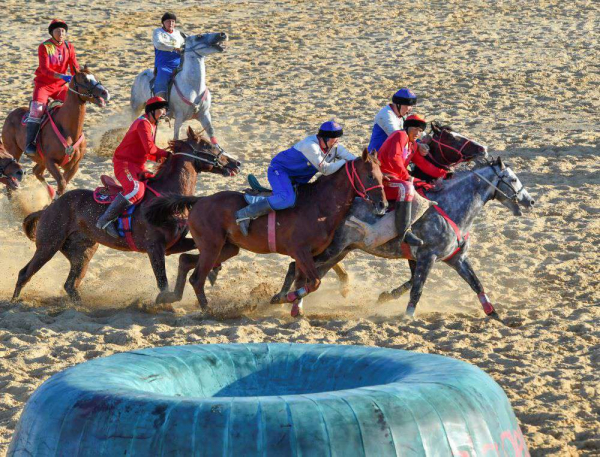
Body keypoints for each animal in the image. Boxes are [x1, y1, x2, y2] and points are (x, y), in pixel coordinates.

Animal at [2, 66, 109, 198]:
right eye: (85, 80)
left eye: (95, 77)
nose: (105, 93)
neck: (68, 130)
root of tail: (11, 115)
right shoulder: (50, 162)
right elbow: (62, 183)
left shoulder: (74, 165)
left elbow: (63, 183)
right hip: (14, 152)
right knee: (11, 183)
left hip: (40, 160)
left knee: (36, 171)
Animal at [10, 126, 240, 304]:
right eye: (207, 145)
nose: (235, 163)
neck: (166, 200)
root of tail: (49, 208)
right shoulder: (154, 248)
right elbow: (162, 282)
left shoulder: (173, 245)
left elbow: (198, 248)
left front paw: (214, 269)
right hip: (48, 245)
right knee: (24, 273)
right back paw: (15, 302)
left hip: (82, 252)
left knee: (70, 284)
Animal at [146, 148, 390, 316]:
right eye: (370, 176)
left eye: (383, 176)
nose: (383, 204)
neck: (319, 205)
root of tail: (199, 200)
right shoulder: (300, 251)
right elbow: (313, 282)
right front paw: (284, 298)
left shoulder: (310, 254)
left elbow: (303, 280)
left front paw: (293, 306)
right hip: (211, 246)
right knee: (197, 278)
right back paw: (208, 311)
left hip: (227, 248)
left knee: (186, 261)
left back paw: (170, 297)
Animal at [272, 159, 536, 318]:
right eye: (512, 179)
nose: (530, 200)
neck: (450, 208)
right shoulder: (427, 257)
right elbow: (417, 288)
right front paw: (407, 315)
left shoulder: (456, 259)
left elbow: (476, 283)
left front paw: (494, 313)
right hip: (332, 249)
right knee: (298, 268)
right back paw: (285, 299)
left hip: (342, 250)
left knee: (311, 273)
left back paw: (294, 304)